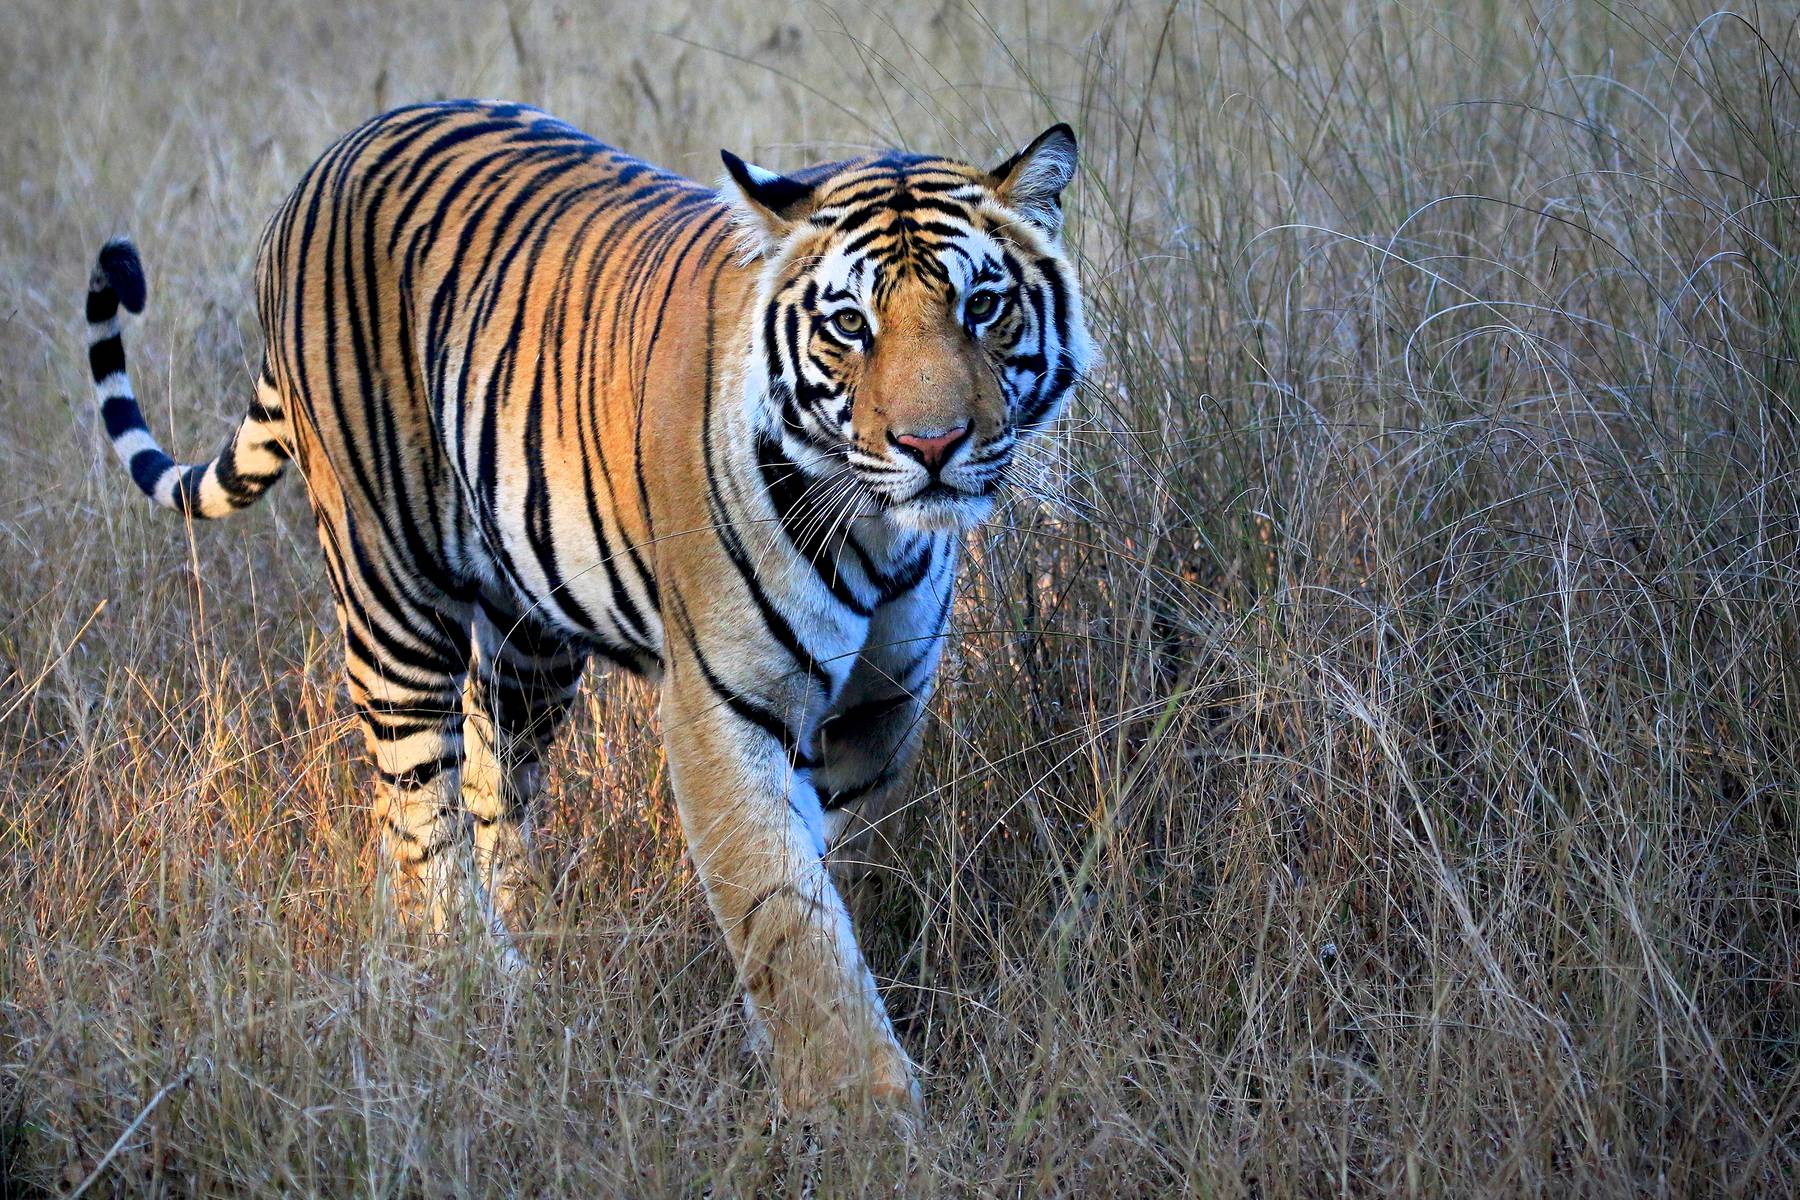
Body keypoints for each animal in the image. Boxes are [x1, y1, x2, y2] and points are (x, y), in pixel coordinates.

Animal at [84, 100, 1087, 1115]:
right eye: (849, 324)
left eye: (982, 306)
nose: (933, 445)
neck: (879, 531)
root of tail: (333, 156)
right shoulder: (719, 713)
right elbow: (788, 913)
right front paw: (865, 1112)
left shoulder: (881, 711)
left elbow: (815, 876)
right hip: (389, 589)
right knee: (418, 808)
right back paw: (477, 981)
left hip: (532, 637)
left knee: (490, 780)